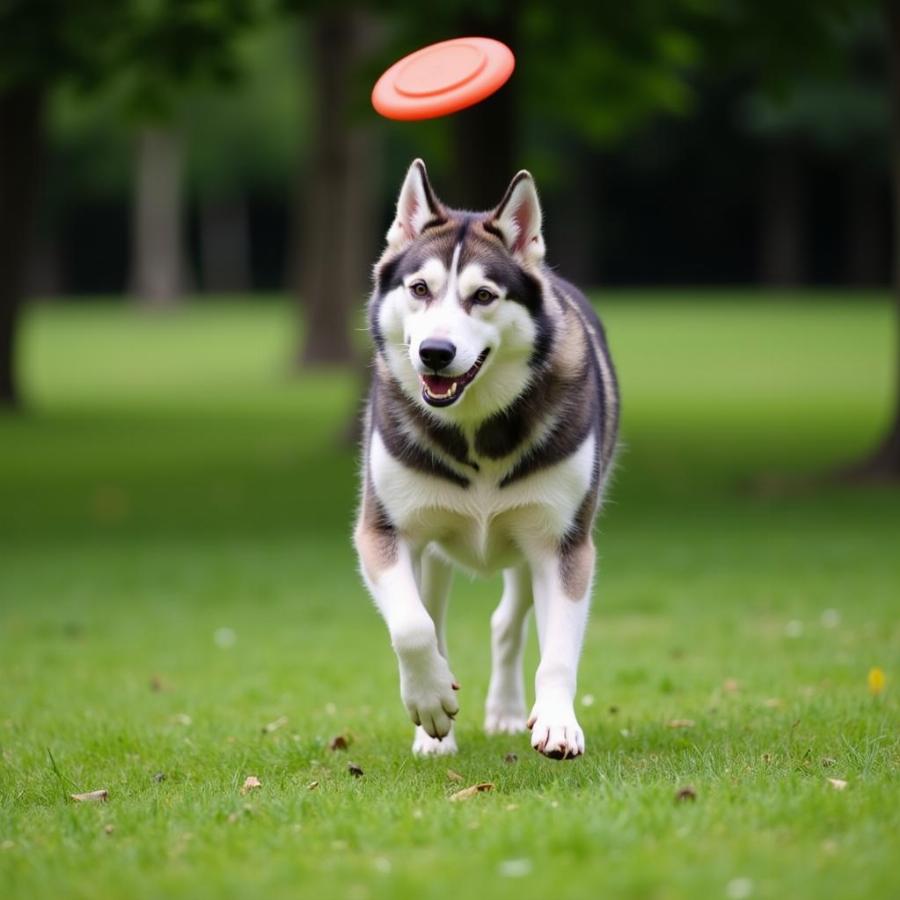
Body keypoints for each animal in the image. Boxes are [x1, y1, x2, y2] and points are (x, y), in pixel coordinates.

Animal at [352, 162, 620, 760]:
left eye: (483, 295)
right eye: (420, 289)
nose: (436, 352)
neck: (474, 428)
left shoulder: (563, 545)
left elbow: (557, 651)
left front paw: (557, 723)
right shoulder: (383, 532)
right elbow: (413, 628)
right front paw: (431, 705)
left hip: (524, 547)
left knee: (507, 623)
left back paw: (505, 711)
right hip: (432, 549)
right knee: (433, 616)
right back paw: (435, 730)